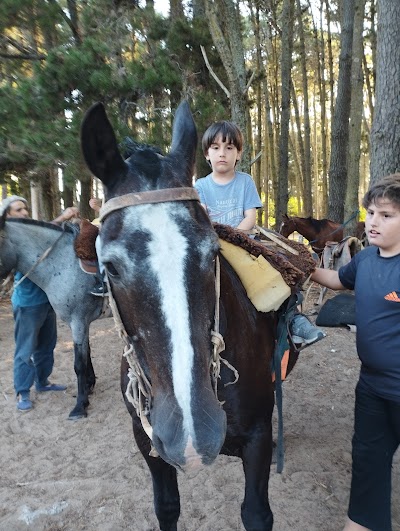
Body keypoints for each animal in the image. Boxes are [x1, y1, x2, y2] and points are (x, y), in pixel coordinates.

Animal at [0, 215, 104, 420]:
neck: (62, 263)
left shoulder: (78, 322)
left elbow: (79, 364)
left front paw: (80, 405)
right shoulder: (82, 323)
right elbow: (87, 354)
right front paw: (89, 387)